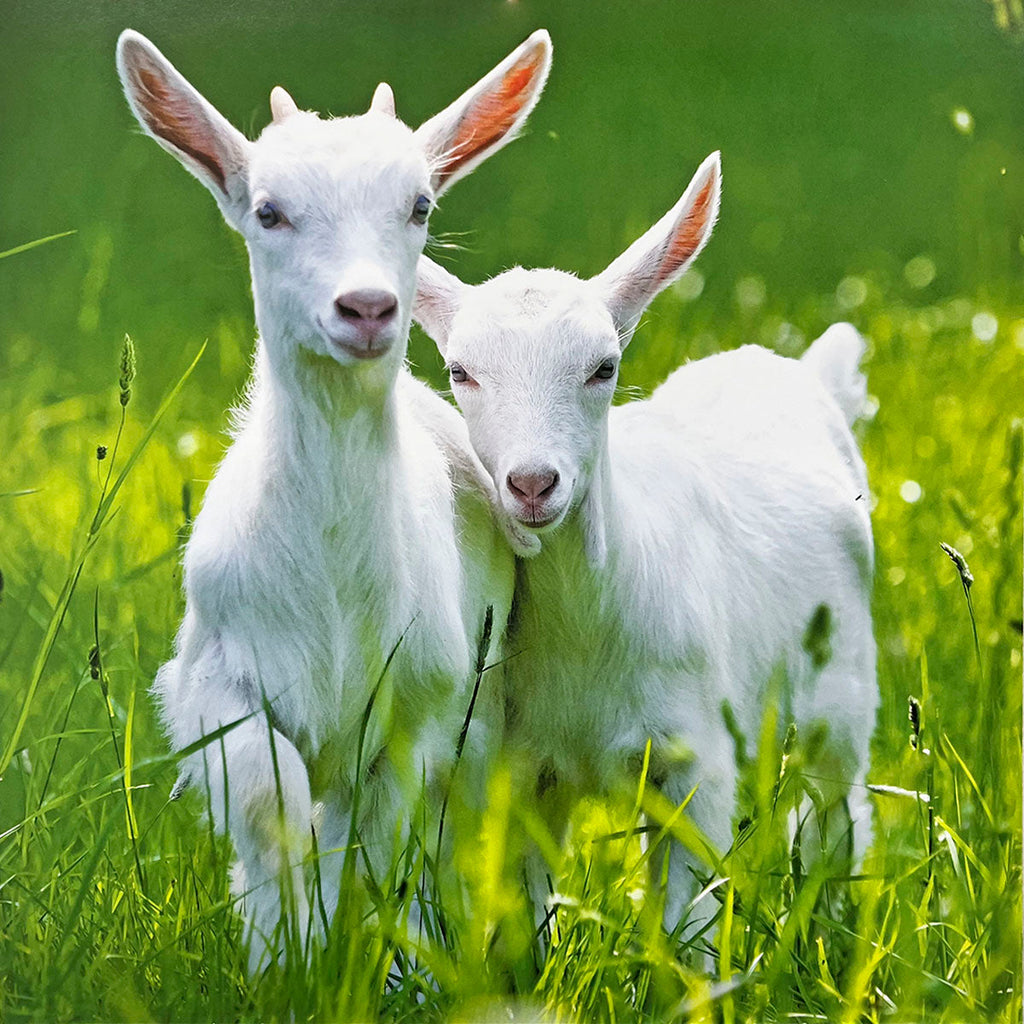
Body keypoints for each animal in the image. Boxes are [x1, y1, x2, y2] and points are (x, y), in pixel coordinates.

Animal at [116, 27, 551, 969]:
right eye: (268, 212)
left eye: (420, 206)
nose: (368, 307)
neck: (330, 591)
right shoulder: (214, 681)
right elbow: (270, 805)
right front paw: (283, 953)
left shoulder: (420, 707)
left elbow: (372, 838)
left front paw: (337, 952)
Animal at [414, 152, 878, 933]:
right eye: (460, 371)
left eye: (603, 367)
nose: (533, 483)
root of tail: (801, 372)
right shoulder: (527, 766)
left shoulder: (698, 758)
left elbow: (686, 927)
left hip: (841, 698)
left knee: (837, 818)